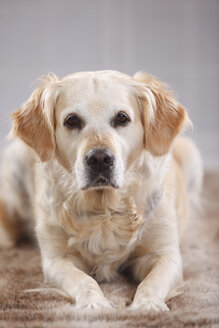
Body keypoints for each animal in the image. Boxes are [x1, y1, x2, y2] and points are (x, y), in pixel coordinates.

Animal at [0, 71, 202, 312]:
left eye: (122, 118)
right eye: (72, 120)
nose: (99, 159)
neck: (104, 208)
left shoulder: (164, 253)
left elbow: (152, 281)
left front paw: (147, 305)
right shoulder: (56, 259)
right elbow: (83, 280)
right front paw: (94, 304)